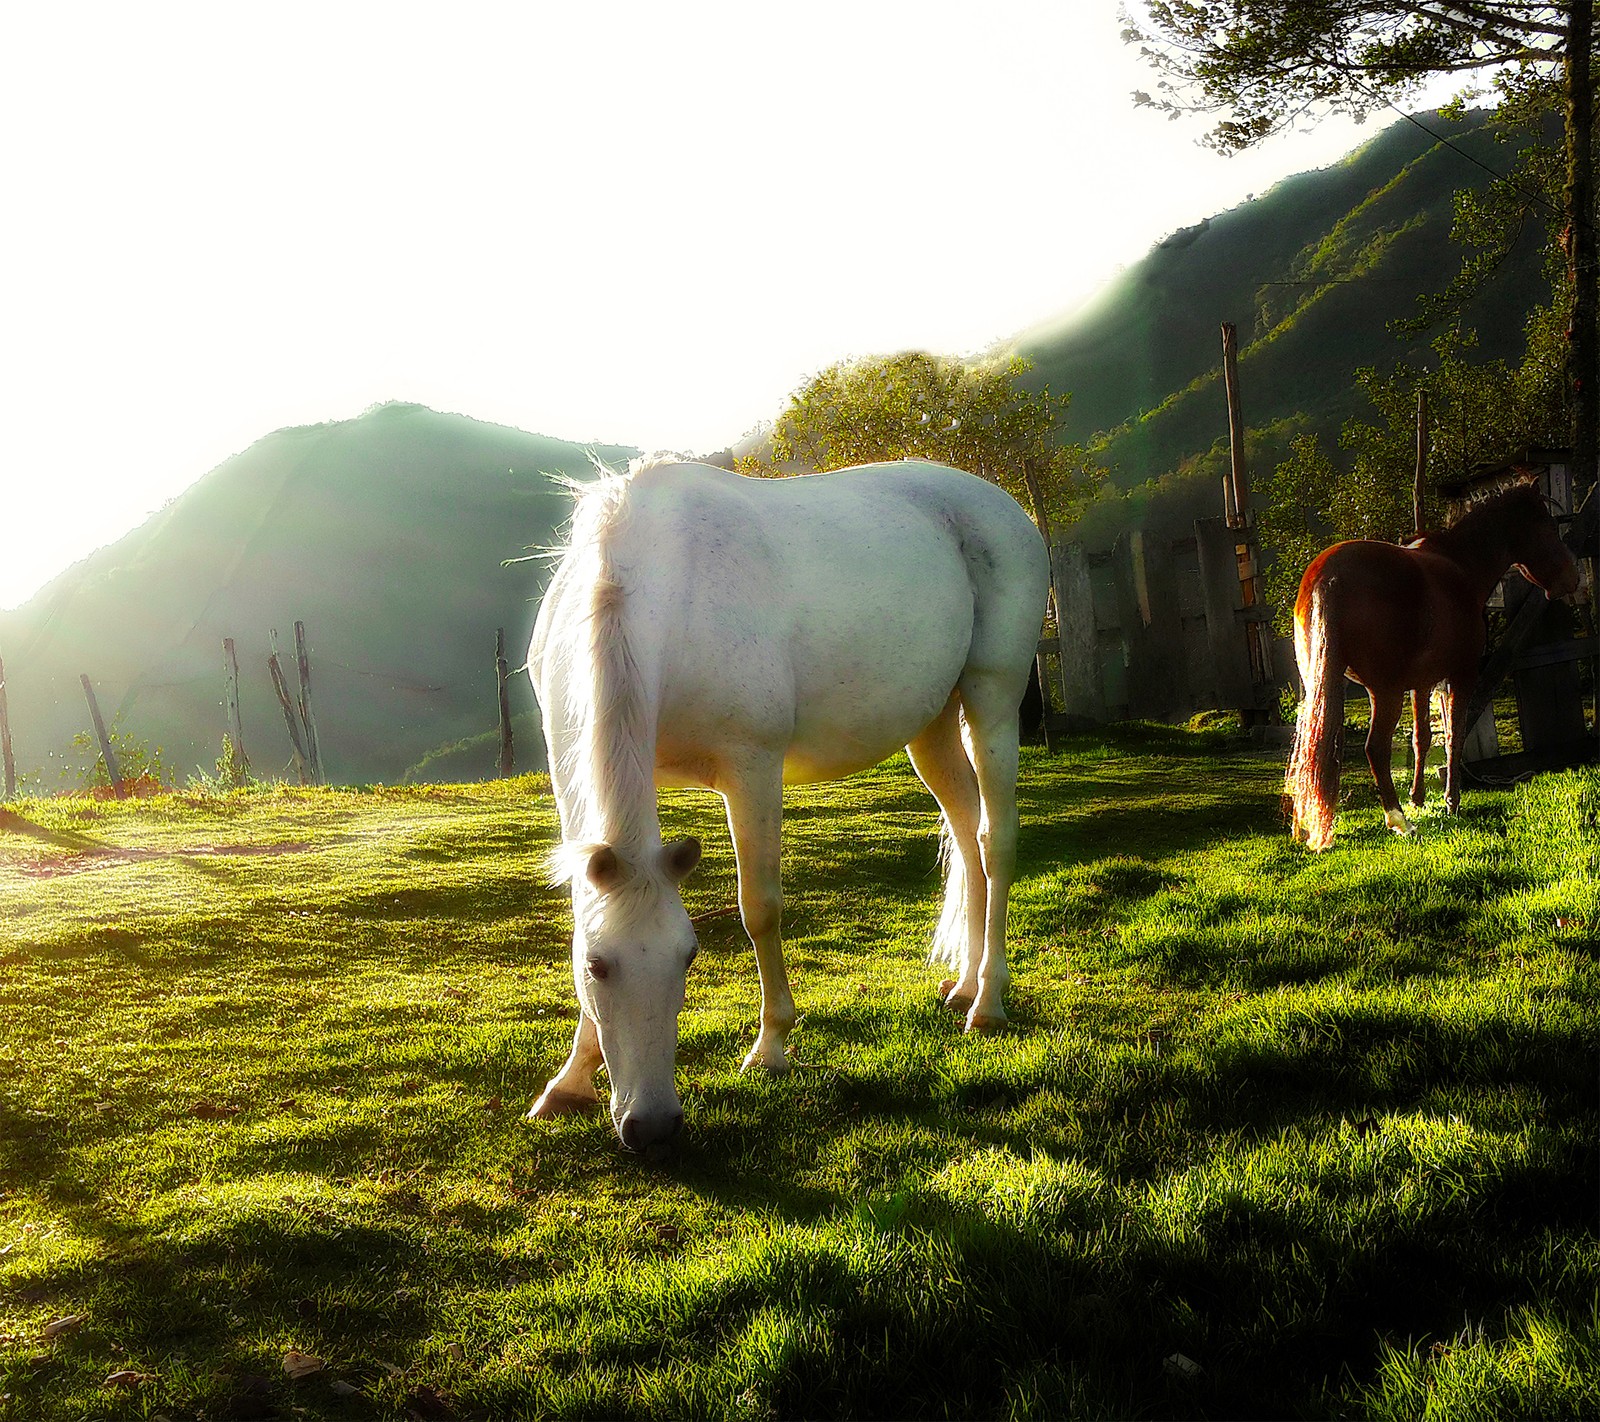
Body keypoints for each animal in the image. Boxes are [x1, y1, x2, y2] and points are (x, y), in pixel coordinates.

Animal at [524, 457, 1049, 1151]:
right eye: (598, 966)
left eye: (688, 957)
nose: (654, 1128)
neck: (656, 584)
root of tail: (1003, 505)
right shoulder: (568, 771)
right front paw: (569, 1080)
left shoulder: (752, 768)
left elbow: (760, 909)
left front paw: (771, 1046)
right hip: (932, 724)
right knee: (965, 834)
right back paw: (962, 986)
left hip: (992, 700)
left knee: (995, 839)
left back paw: (987, 1002)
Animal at [1286, 483, 1574, 850]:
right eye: (1549, 527)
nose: (1572, 578)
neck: (1460, 566)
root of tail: (1328, 576)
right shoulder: (1460, 676)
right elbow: (1453, 735)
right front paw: (1452, 801)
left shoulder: (1421, 683)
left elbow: (1421, 737)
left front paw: (1419, 797)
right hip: (1384, 692)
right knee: (1375, 748)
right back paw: (1398, 821)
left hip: (1321, 687)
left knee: (1312, 749)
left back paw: (1307, 822)